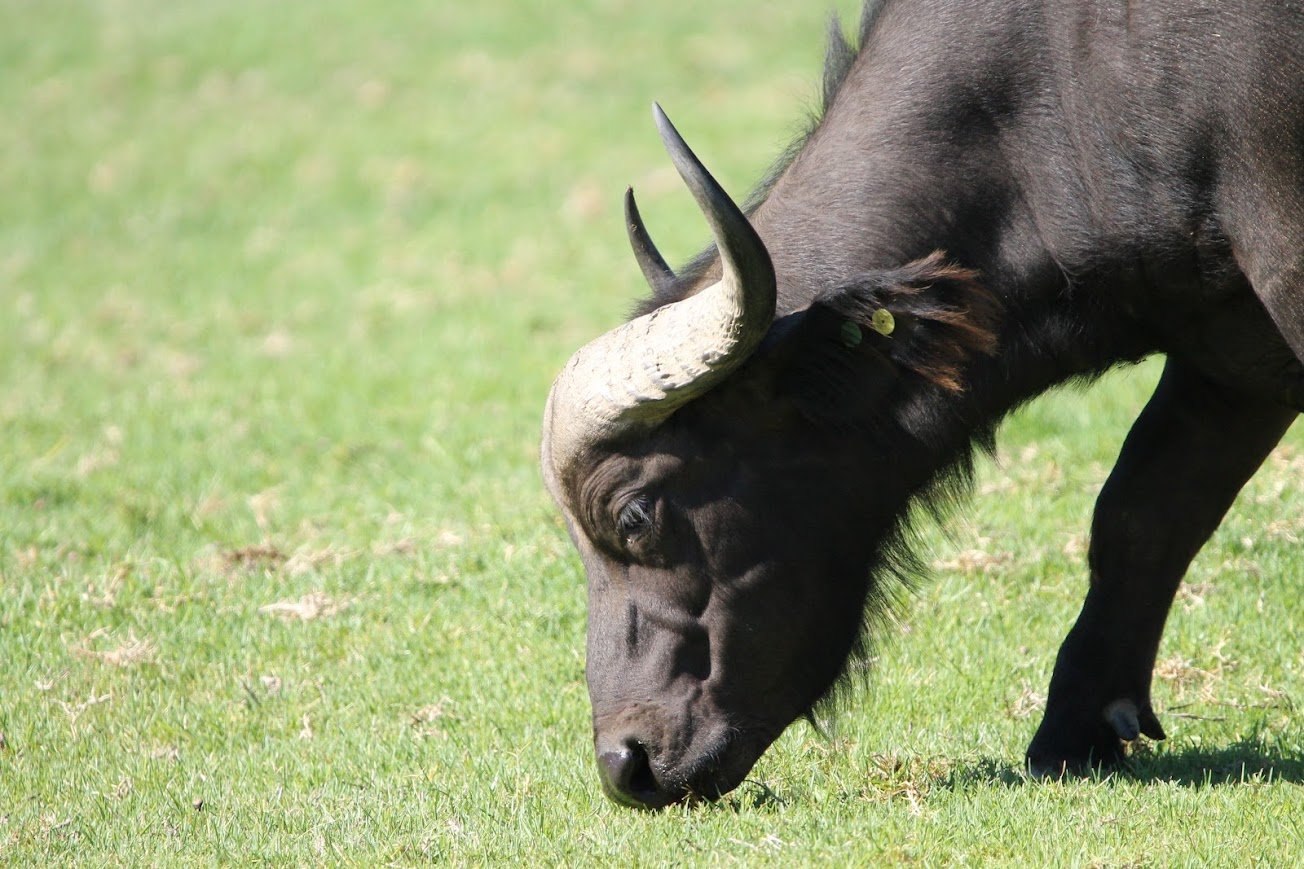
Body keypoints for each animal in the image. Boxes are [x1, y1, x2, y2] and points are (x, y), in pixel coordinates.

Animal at [541, 0, 1303, 808]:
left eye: (632, 514)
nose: (626, 763)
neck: (1073, 82)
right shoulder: (1227, 356)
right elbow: (1142, 513)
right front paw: (1079, 728)